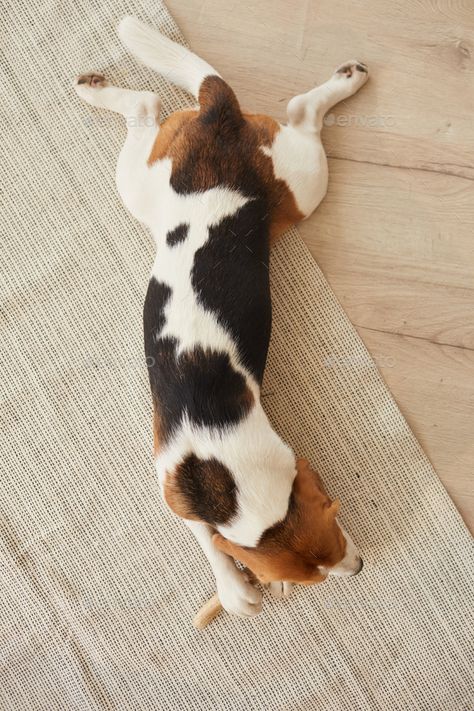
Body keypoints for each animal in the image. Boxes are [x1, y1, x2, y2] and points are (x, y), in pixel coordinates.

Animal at [75, 15, 366, 616]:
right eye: (318, 572)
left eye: (337, 519)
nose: (358, 566)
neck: (223, 472)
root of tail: (219, 114)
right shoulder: (172, 485)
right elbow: (206, 535)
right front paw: (233, 586)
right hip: (153, 185)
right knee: (152, 103)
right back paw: (97, 90)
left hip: (292, 180)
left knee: (297, 109)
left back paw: (345, 82)